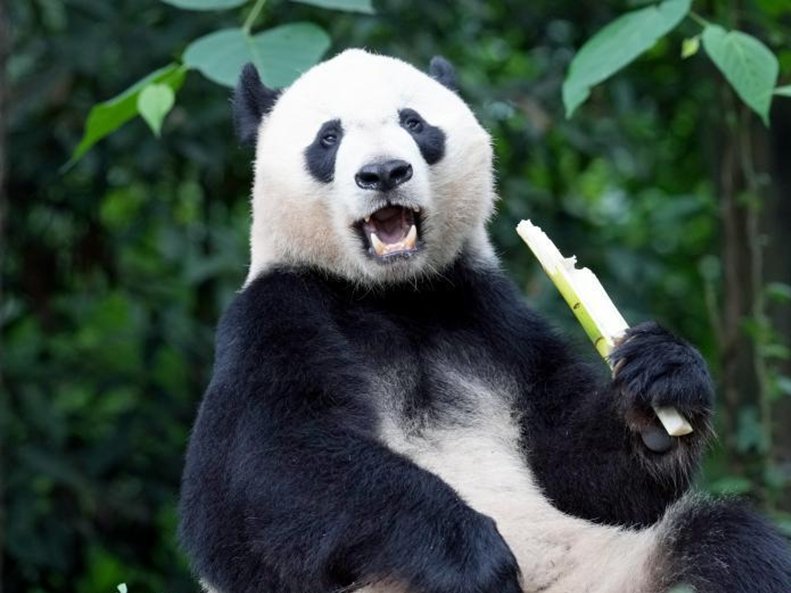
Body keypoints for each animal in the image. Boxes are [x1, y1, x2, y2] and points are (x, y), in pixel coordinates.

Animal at [178, 49, 791, 593]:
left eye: (414, 122)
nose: (384, 172)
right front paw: (468, 556)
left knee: (728, 544)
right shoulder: (273, 317)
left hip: (615, 566)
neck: (393, 295)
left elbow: (591, 480)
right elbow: (269, 471)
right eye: (328, 138)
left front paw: (663, 383)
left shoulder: (495, 321)